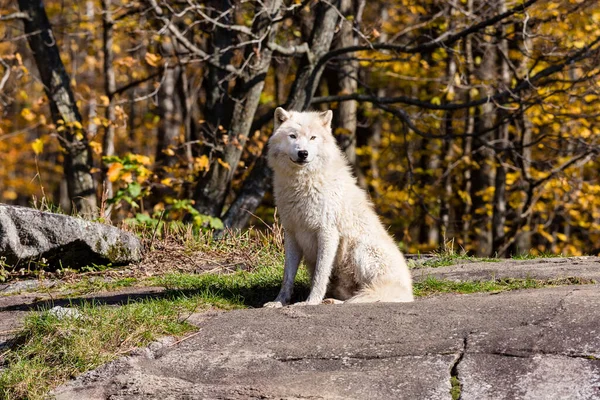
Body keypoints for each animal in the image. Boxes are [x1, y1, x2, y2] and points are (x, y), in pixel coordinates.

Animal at [264, 106, 414, 306]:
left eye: (313, 137)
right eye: (293, 136)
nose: (303, 153)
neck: (303, 183)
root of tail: (408, 292)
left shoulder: (327, 232)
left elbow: (320, 275)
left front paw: (310, 302)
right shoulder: (292, 234)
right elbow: (287, 276)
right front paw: (279, 302)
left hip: (360, 250)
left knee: (363, 297)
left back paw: (332, 302)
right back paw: (332, 300)